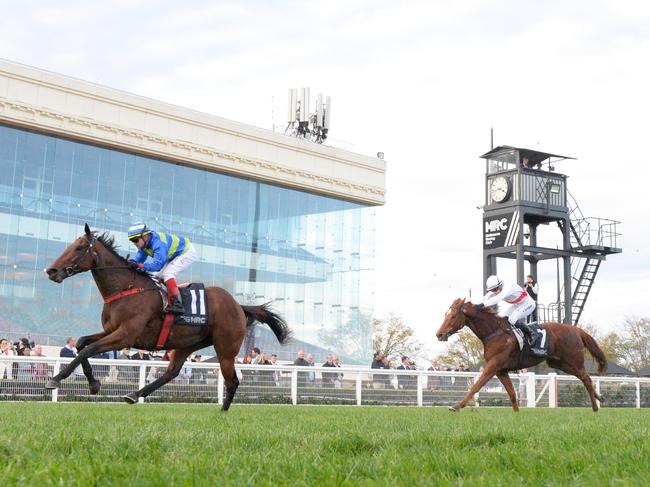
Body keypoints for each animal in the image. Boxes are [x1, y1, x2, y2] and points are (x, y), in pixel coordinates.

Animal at [44, 226, 290, 412]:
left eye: (78, 248)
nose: (51, 271)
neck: (126, 288)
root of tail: (239, 306)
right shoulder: (111, 330)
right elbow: (82, 343)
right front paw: (94, 384)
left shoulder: (126, 335)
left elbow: (88, 349)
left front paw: (56, 379)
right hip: (187, 344)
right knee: (172, 372)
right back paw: (135, 394)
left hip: (226, 349)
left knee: (232, 381)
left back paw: (222, 412)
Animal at [432, 300, 604, 414]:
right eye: (446, 315)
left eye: (453, 316)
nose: (439, 334)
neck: (494, 332)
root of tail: (576, 329)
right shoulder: (501, 370)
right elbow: (512, 393)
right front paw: (516, 413)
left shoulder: (493, 366)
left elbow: (476, 386)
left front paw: (456, 406)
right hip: (561, 364)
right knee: (586, 378)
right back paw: (599, 398)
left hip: (573, 362)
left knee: (587, 379)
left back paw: (595, 408)